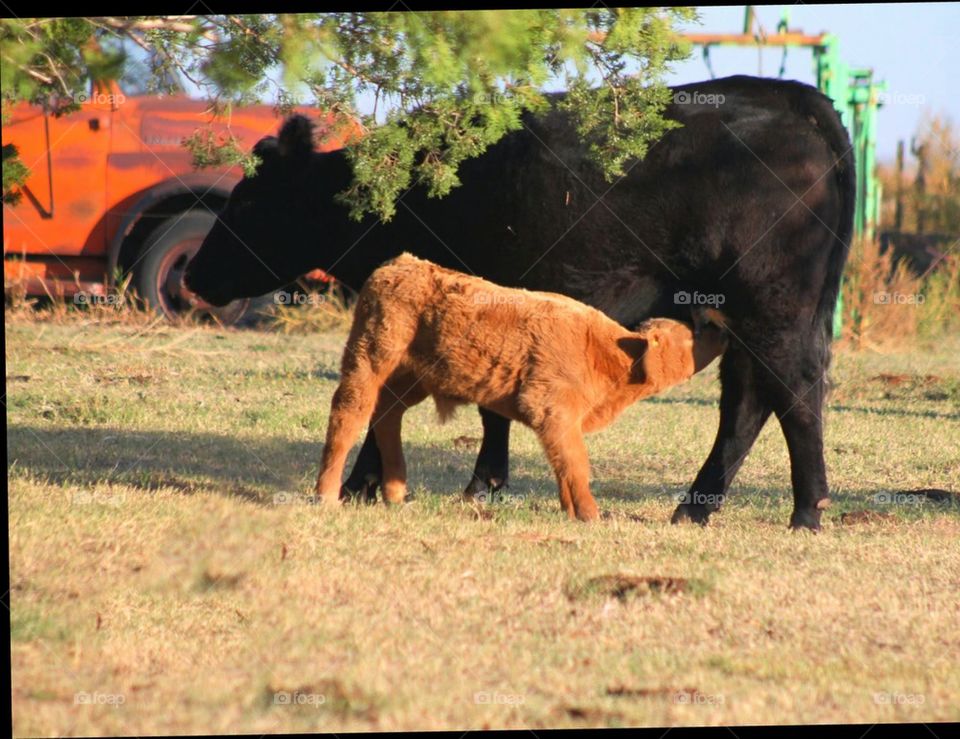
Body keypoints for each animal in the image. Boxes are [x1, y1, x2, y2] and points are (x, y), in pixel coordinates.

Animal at [316, 254, 728, 520]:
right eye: (689, 336)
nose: (718, 323)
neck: (608, 353)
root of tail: (402, 263)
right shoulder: (554, 412)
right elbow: (575, 462)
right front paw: (590, 515)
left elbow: (564, 465)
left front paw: (571, 511)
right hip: (370, 360)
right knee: (348, 414)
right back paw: (327, 496)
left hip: (410, 379)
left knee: (387, 416)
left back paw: (397, 494)